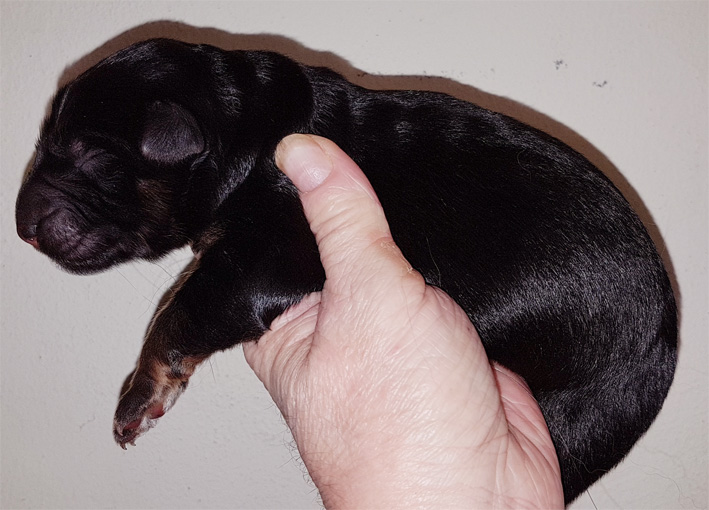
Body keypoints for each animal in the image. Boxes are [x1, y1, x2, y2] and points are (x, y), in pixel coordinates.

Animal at [15, 38, 676, 504]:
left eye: (88, 155)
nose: (20, 227)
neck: (251, 130)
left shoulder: (276, 250)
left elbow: (182, 309)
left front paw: (139, 395)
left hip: (579, 417)